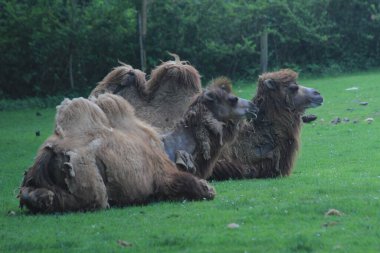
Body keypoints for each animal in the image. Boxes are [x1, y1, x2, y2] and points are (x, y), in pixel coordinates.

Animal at [18, 95, 214, 213]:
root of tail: (49, 155)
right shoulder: (163, 173)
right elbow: (187, 182)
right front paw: (208, 189)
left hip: (34, 176)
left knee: (29, 191)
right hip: (89, 185)